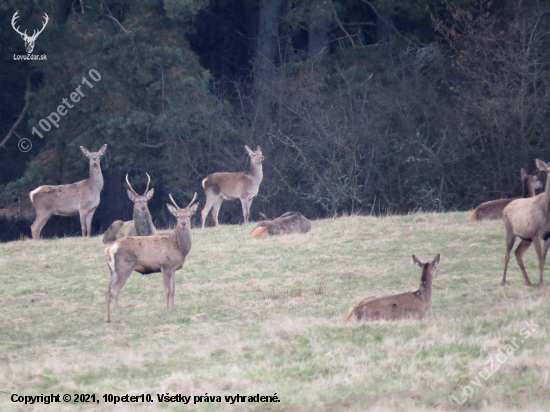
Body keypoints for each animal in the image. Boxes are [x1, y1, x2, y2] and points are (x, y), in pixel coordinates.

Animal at [104, 193, 199, 322]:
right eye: (178, 216)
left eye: (188, 215)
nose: (184, 223)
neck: (179, 247)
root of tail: (109, 249)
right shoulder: (165, 266)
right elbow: (167, 290)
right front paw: (167, 313)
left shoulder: (173, 269)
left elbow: (173, 290)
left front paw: (173, 311)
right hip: (124, 267)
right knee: (114, 290)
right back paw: (118, 318)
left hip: (113, 271)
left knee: (107, 290)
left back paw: (107, 318)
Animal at [502, 159, 550, 288]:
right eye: (548, 170)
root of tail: (506, 207)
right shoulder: (535, 233)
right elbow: (540, 259)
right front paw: (541, 284)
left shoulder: (548, 235)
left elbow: (544, 259)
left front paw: (539, 282)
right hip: (510, 230)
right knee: (507, 255)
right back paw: (503, 281)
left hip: (526, 237)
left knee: (518, 252)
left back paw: (528, 281)